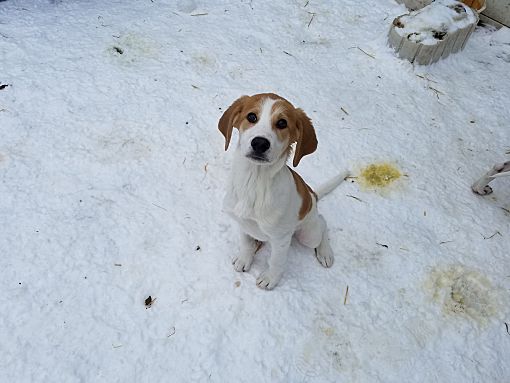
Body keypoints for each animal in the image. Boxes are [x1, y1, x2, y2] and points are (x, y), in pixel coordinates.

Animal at [217, 93, 348, 292]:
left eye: (282, 123)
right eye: (251, 117)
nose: (260, 143)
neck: (255, 182)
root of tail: (312, 195)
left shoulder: (280, 239)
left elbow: (276, 261)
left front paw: (270, 278)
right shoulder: (243, 223)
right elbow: (246, 244)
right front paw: (244, 259)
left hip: (308, 235)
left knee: (322, 223)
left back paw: (325, 252)